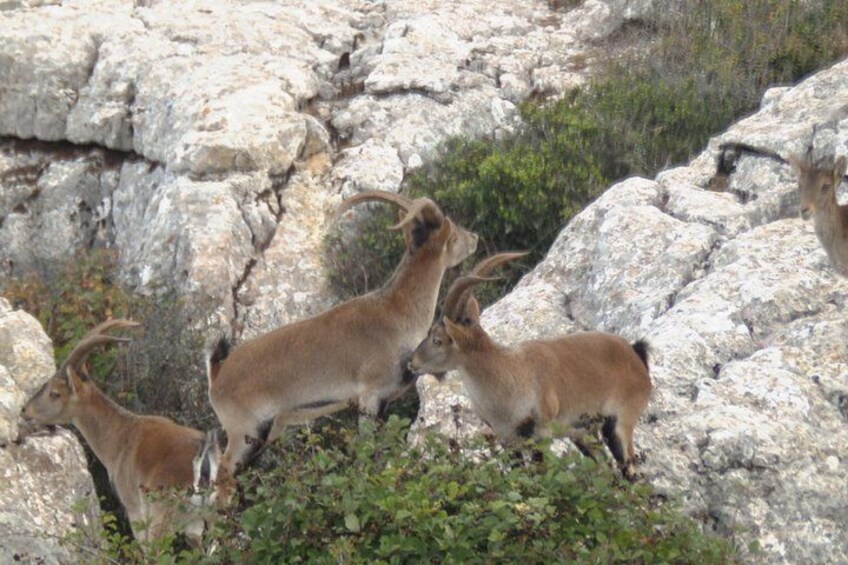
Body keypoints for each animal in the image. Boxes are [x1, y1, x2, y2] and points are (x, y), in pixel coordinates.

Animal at [20, 320, 226, 546]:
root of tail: (205, 457)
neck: (120, 435)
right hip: (213, 517)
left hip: (163, 514)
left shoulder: (135, 511)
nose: (25, 411)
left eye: (55, 393)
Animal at [207, 190, 478, 477]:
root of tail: (217, 374)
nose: (474, 238)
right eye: (453, 235)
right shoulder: (370, 397)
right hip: (245, 433)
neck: (398, 311)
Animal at [407, 253, 653, 478]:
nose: (411, 362)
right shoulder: (508, 439)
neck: (509, 377)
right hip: (584, 434)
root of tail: (636, 355)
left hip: (619, 424)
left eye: (438, 340)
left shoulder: (541, 435)